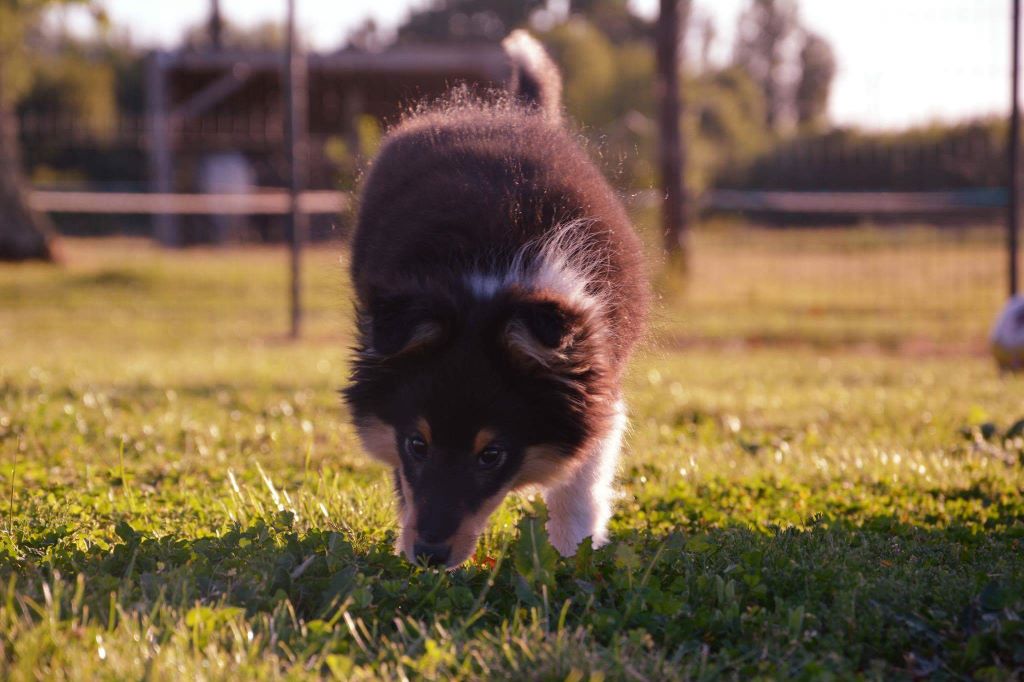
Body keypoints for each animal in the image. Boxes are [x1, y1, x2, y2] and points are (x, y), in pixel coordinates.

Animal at [344, 29, 647, 565]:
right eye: (417, 444)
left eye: (492, 454)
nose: (428, 555)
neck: (489, 278)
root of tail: (508, 112)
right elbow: (406, 485)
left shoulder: (596, 380)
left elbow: (580, 486)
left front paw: (571, 559)